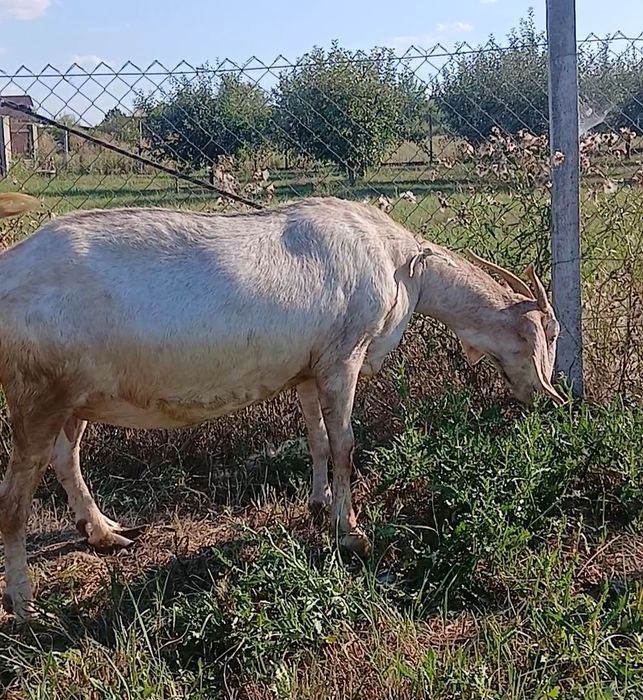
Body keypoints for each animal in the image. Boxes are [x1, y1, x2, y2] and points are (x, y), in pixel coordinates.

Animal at [0, 193, 564, 620]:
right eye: (552, 333)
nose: (547, 398)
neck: (404, 267)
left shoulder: (308, 369)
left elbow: (316, 438)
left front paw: (317, 504)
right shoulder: (343, 355)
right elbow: (344, 444)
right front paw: (350, 532)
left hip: (75, 397)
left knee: (66, 458)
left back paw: (104, 534)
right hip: (37, 394)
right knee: (15, 497)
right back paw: (26, 606)